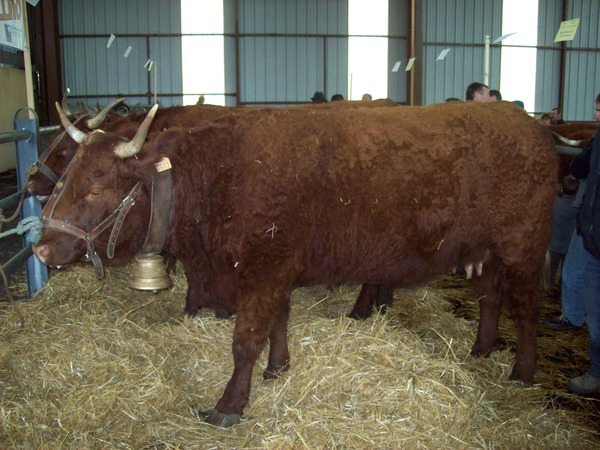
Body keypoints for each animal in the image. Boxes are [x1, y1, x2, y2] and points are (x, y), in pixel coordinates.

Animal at [34, 100, 556, 428]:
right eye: (69, 173)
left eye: (96, 187)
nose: (41, 249)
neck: (220, 176)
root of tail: (524, 121)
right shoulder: (272, 270)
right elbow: (277, 324)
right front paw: (278, 369)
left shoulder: (264, 270)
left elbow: (245, 341)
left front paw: (229, 405)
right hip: (485, 253)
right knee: (490, 299)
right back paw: (480, 351)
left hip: (523, 248)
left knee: (527, 310)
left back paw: (522, 371)